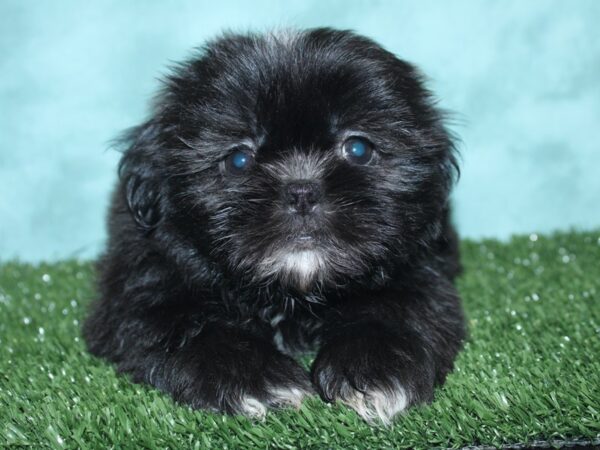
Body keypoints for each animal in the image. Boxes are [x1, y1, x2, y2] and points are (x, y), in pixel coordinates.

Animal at [84, 29, 466, 426]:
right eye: (238, 159)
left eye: (358, 148)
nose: (302, 191)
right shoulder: (143, 282)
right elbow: (190, 326)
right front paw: (253, 379)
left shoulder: (421, 269)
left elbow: (395, 309)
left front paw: (376, 367)